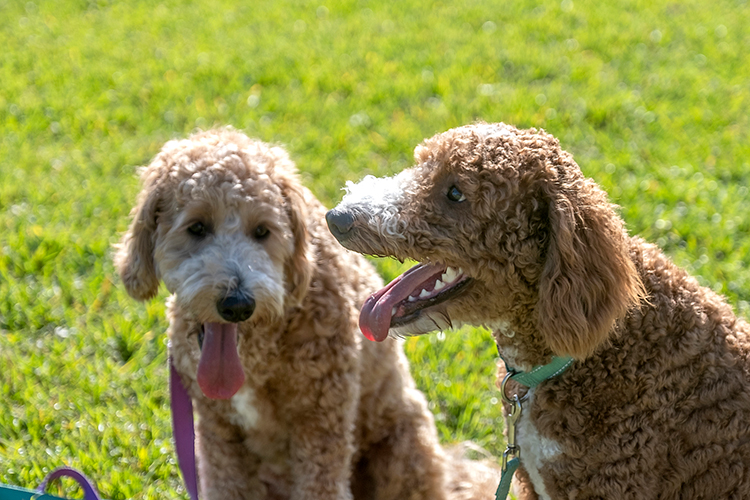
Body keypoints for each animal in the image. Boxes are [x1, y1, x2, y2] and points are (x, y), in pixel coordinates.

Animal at [114, 129, 500, 500]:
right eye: (196, 228)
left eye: (262, 231)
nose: (237, 304)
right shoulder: (217, 434)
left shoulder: (321, 425)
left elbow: (322, 488)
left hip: (403, 450)